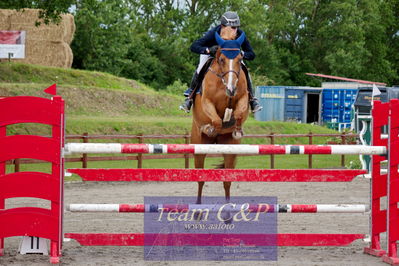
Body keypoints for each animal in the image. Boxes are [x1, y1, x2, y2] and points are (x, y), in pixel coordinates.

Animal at [191, 27, 250, 207]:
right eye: (222, 59)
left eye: (240, 59)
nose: (231, 89)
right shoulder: (207, 101)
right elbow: (216, 119)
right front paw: (211, 128)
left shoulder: (243, 97)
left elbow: (238, 112)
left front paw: (236, 128)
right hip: (198, 145)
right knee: (200, 179)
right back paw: (197, 207)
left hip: (230, 149)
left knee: (227, 181)